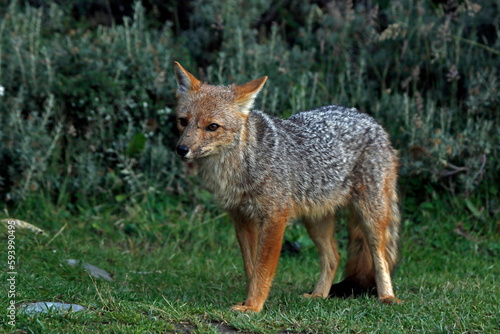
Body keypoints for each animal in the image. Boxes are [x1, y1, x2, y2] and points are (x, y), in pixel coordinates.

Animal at [174, 60, 400, 314]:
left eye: (212, 126)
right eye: (183, 121)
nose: (181, 149)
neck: (239, 167)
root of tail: (370, 120)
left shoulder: (274, 219)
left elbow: (262, 270)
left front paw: (252, 307)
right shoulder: (241, 219)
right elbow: (251, 269)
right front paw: (248, 302)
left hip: (370, 216)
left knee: (380, 257)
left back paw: (387, 297)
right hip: (316, 221)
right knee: (334, 257)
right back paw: (318, 296)